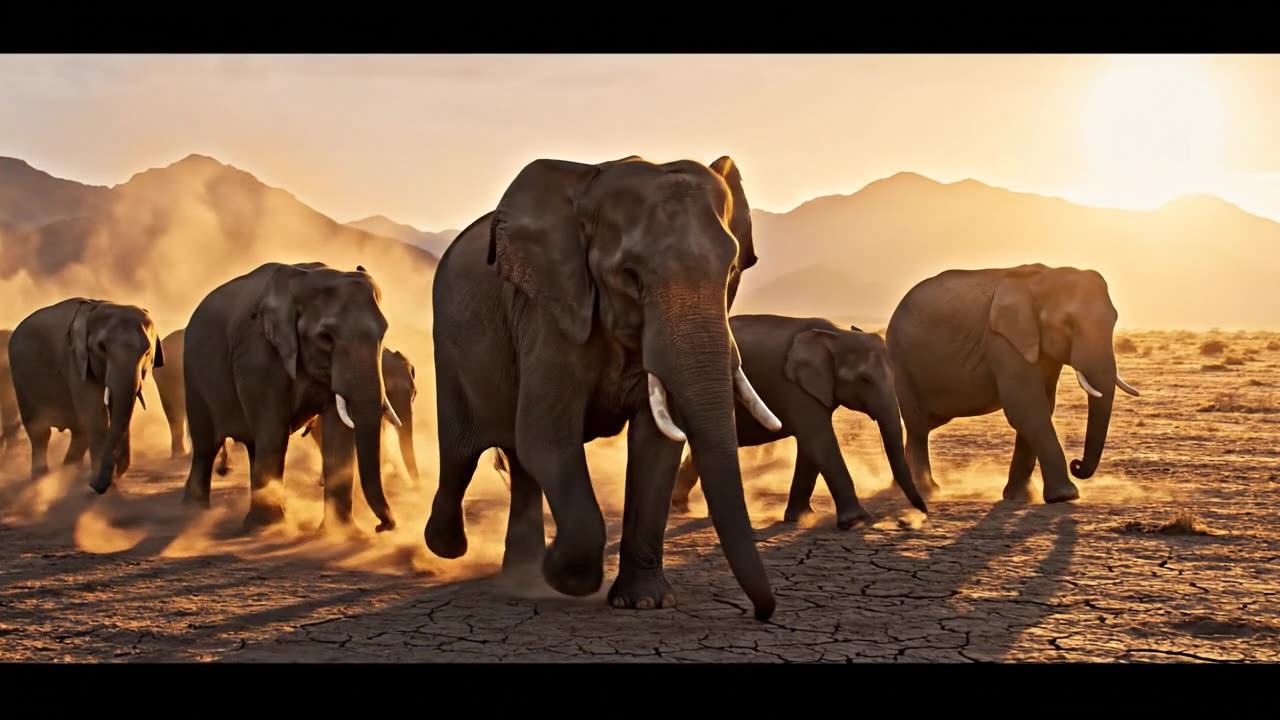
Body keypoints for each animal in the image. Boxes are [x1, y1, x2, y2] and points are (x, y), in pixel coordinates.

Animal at [7, 298, 164, 492]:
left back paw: (66, 476)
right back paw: (41, 478)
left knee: (79, 432)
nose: (92, 485)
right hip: (21, 379)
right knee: (39, 431)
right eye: (102, 348)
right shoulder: (75, 361)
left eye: (147, 351)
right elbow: (96, 415)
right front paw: (100, 484)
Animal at [180, 261, 403, 533]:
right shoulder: (258, 353)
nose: (382, 526)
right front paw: (268, 528)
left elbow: (339, 435)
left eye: (383, 334)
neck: (303, 281)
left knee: (252, 446)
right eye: (325, 338)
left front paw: (341, 533)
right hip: (193, 373)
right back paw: (194, 511)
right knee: (206, 446)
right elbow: (274, 430)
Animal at [424, 155, 783, 620]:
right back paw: (449, 546)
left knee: (518, 461)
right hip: (450, 347)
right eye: (630, 277)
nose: (762, 612)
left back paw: (521, 576)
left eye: (732, 272)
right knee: (461, 454)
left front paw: (645, 602)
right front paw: (564, 578)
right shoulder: (549, 312)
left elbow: (656, 446)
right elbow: (547, 437)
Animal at [670, 315, 928, 527]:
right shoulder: (794, 387)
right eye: (865, 380)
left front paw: (801, 518)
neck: (837, 335)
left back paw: (682, 506)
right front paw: (857, 520)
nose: (919, 515)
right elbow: (818, 440)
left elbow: (810, 448)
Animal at [885, 263, 1140, 504]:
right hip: (900, 360)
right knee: (918, 427)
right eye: (1068, 324)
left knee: (921, 427)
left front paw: (1022, 497)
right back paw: (926, 491)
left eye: (1114, 320)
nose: (1076, 464)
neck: (1045, 278)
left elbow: (1042, 406)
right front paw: (1066, 496)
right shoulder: (1003, 341)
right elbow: (1027, 408)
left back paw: (900, 489)